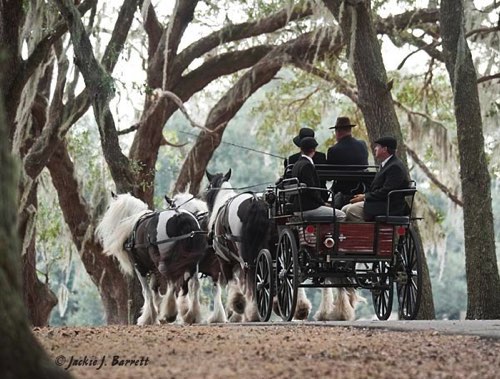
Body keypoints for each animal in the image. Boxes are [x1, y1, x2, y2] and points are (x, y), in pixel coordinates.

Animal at [94, 193, 206, 326]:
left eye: (108, 207)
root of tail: (179, 216)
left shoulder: (139, 266)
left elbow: (146, 292)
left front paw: (148, 317)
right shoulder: (153, 268)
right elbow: (154, 287)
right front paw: (156, 310)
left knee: (172, 283)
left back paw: (170, 314)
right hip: (192, 262)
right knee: (194, 284)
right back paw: (191, 315)